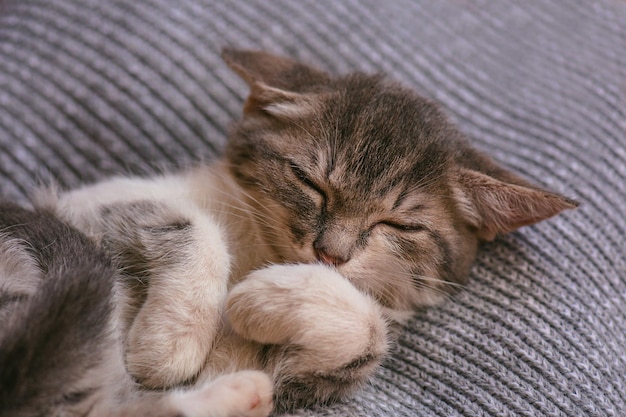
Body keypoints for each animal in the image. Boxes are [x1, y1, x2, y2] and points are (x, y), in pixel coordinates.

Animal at [0, 48, 576, 412]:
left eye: (399, 224)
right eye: (309, 182)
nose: (329, 252)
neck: (259, 249)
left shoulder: (297, 380)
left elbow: (366, 332)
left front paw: (259, 298)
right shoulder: (81, 206)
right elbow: (190, 225)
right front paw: (171, 342)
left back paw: (236, 397)